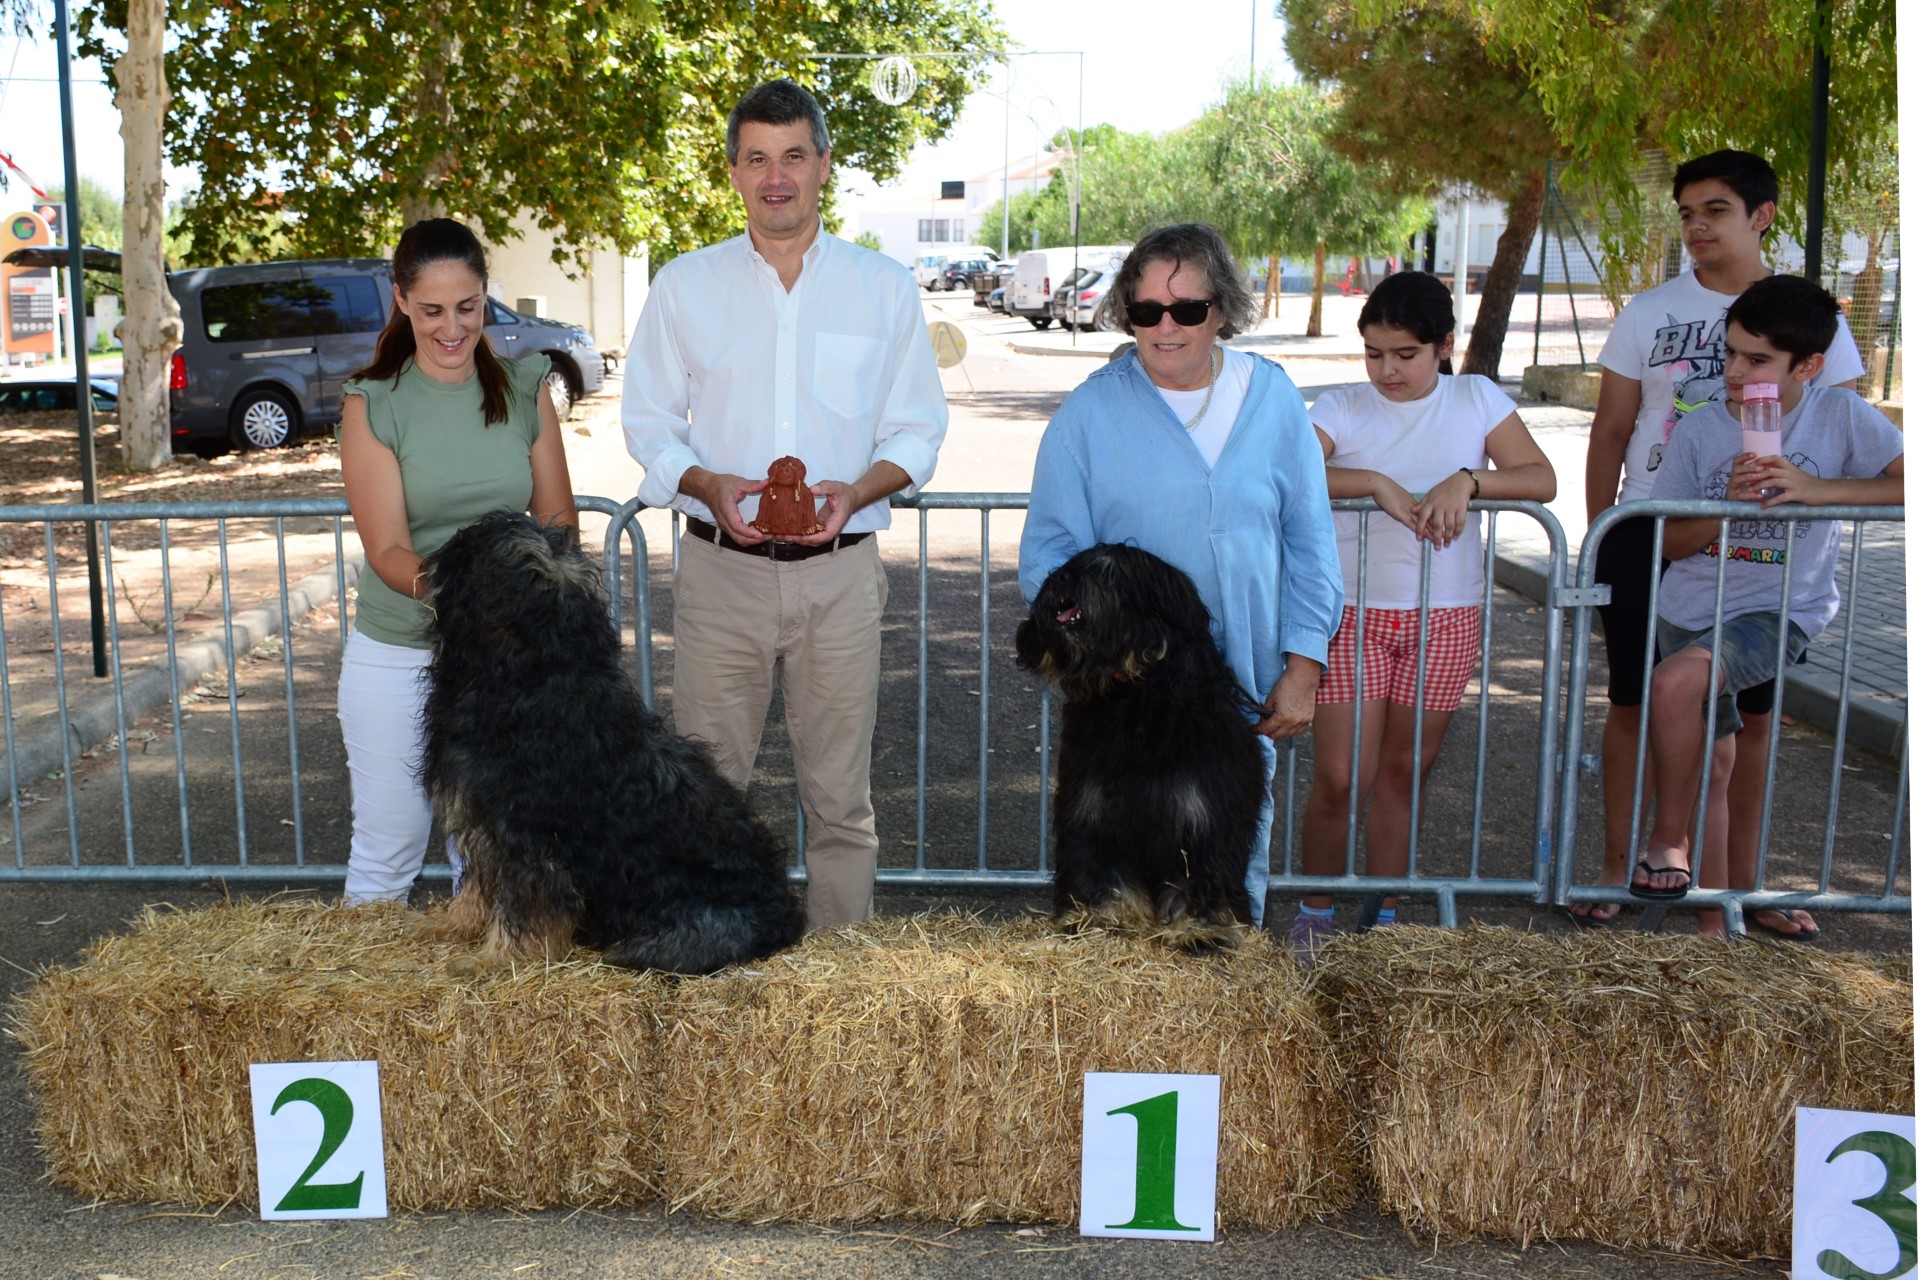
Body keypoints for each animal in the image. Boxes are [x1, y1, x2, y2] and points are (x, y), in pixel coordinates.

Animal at [416, 506, 806, 974]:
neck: (537, 672)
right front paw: (455, 924)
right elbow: (477, 879)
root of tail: (787, 914)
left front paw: (498, 957)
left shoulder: (522, 830)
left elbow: (524, 899)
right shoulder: (484, 817)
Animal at [1013, 541, 1267, 951]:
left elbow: (1201, 871)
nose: (1063, 577)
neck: (1136, 702)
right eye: (1074, 563)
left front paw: (1200, 929)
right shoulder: (1093, 809)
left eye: (1109, 572)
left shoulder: (1202, 815)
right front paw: (1101, 916)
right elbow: (1101, 871)